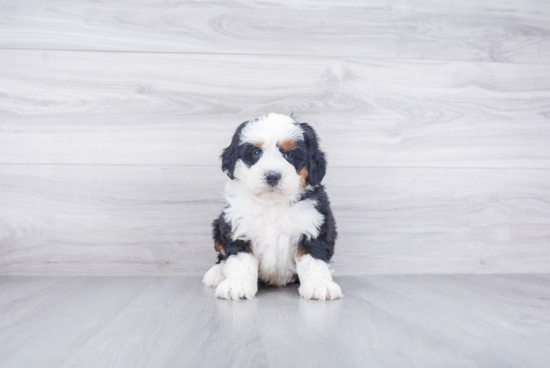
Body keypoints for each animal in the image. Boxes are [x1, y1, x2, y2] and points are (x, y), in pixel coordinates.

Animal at [203, 113, 342, 300]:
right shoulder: (238, 227)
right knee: (222, 256)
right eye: (256, 153)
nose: (272, 176)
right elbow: (240, 260)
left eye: (290, 155)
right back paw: (216, 273)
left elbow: (314, 259)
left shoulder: (314, 225)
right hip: (218, 226)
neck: (272, 204)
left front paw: (320, 285)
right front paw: (236, 284)